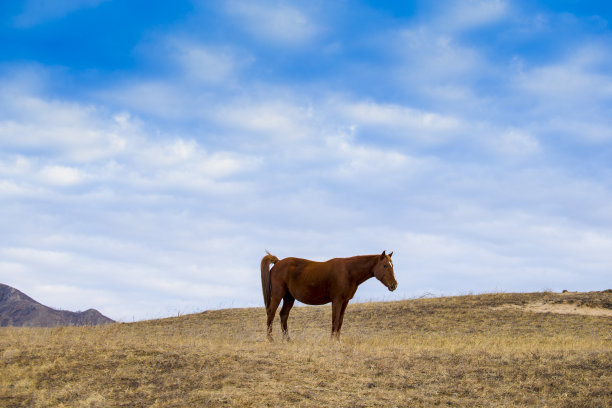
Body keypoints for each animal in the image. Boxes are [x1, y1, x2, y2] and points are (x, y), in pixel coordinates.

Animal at [260, 250, 396, 340]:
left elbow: (340, 322)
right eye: (385, 265)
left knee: (283, 315)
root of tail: (278, 263)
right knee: (271, 312)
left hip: (289, 297)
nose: (394, 285)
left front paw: (338, 341)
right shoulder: (337, 300)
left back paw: (288, 339)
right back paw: (270, 339)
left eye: (392, 265)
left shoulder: (345, 301)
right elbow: (334, 321)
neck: (349, 271)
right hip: (278, 295)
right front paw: (332, 341)